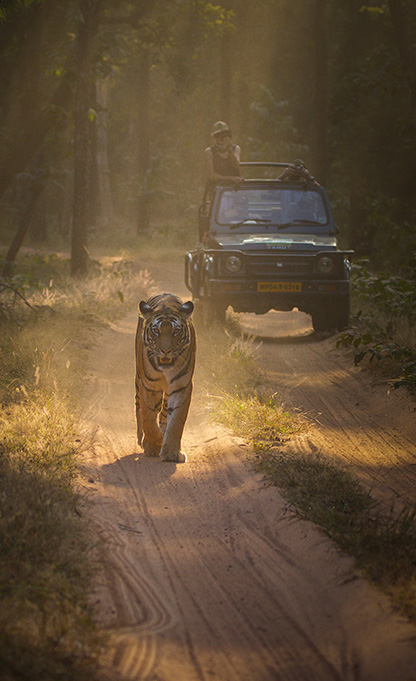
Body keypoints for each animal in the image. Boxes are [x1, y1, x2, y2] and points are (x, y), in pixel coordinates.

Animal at [135, 290, 197, 462]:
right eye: (157, 331)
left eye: (176, 331)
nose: (166, 351)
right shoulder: (148, 386)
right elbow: (148, 418)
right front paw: (153, 444)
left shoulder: (181, 387)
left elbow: (176, 421)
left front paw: (171, 453)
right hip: (138, 381)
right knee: (139, 408)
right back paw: (141, 438)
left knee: (163, 413)